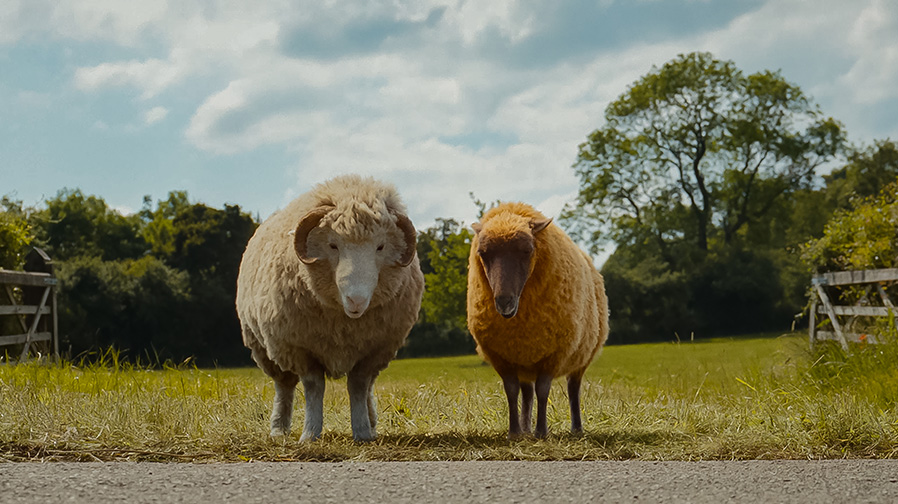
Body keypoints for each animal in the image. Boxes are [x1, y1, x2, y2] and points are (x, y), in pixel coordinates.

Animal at [236, 175, 424, 442]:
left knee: (368, 388)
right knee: (284, 387)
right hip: (266, 349)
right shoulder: (301, 349)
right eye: (333, 245)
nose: (356, 300)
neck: (344, 323)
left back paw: (372, 423)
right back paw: (279, 429)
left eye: (380, 247)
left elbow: (358, 386)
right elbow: (314, 388)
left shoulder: (374, 351)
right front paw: (310, 434)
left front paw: (362, 431)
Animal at [466, 201, 609, 438]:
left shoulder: (554, 354)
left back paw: (576, 428)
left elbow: (543, 391)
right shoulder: (502, 357)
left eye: (527, 251)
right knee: (526, 393)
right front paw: (514, 432)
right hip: (525, 359)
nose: (504, 302)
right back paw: (525, 428)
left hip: (581, 357)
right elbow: (511, 391)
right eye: (483, 253)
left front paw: (542, 431)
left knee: (573, 389)